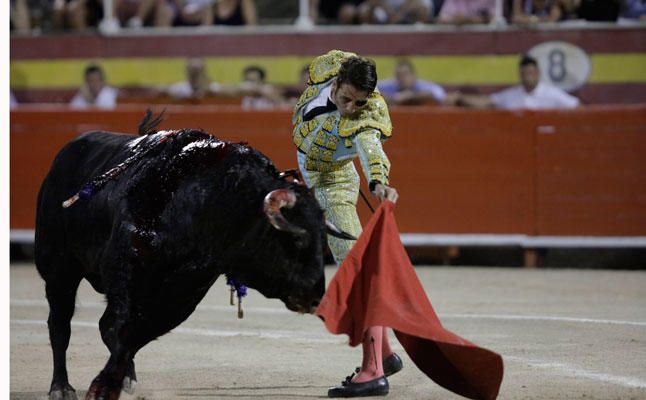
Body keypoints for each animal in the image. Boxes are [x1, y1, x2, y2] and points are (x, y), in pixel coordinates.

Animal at [34, 114, 350, 398]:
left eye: (323, 244)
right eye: (296, 240)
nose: (316, 297)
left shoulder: (187, 291)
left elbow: (137, 332)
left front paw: (117, 380)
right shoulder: (126, 275)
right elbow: (120, 329)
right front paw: (104, 386)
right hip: (59, 269)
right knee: (60, 325)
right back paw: (61, 387)